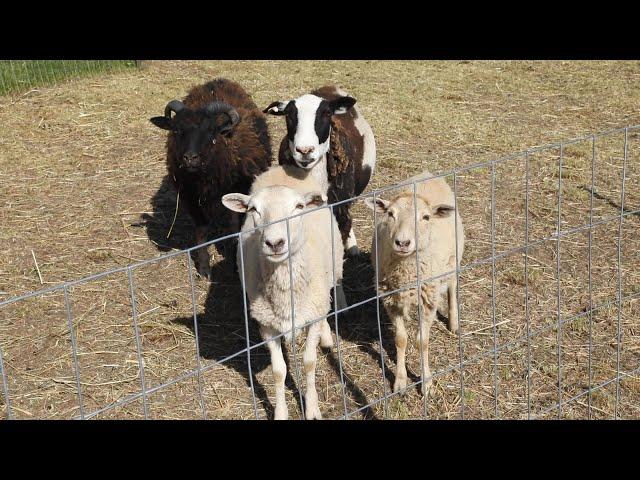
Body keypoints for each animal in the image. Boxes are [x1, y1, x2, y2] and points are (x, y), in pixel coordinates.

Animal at [222, 165, 348, 420]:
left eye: (298, 207)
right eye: (253, 209)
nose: (275, 243)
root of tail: (284, 167)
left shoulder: (312, 316)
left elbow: (309, 362)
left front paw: (312, 408)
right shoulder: (267, 324)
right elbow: (278, 371)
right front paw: (280, 411)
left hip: (333, 266)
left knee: (331, 294)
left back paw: (327, 334)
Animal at [364, 172, 464, 398]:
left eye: (426, 218)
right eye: (390, 214)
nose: (403, 243)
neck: (407, 275)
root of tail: (427, 173)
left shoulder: (428, 301)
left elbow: (422, 341)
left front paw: (426, 382)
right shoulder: (390, 300)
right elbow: (401, 339)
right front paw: (400, 382)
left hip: (452, 262)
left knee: (452, 287)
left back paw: (454, 323)